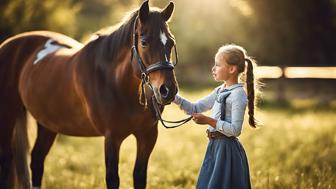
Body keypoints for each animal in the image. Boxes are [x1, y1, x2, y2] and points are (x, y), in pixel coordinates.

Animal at [0, 0, 178, 188]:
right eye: (144, 42)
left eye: (170, 43)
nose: (168, 90)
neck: (114, 82)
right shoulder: (112, 137)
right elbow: (113, 179)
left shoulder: (147, 136)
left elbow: (139, 176)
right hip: (7, 116)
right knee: (7, 160)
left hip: (47, 123)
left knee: (37, 159)